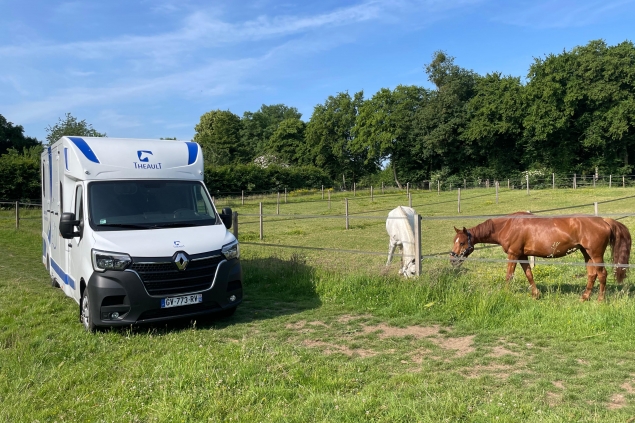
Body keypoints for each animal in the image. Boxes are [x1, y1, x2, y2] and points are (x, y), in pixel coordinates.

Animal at [450, 211, 631, 301]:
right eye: (455, 241)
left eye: (462, 242)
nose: (452, 259)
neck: (508, 225)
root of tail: (604, 220)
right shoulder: (522, 255)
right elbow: (529, 274)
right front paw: (536, 294)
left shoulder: (513, 254)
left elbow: (509, 275)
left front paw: (505, 294)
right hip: (586, 254)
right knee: (592, 274)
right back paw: (585, 297)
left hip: (595, 254)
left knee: (602, 274)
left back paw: (600, 300)